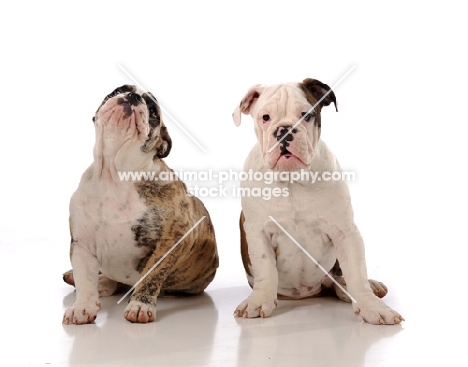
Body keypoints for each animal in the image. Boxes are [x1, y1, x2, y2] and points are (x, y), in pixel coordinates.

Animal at [61, 85, 219, 324]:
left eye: (153, 111)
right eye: (118, 90)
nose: (132, 96)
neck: (114, 175)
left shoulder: (174, 238)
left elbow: (152, 273)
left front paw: (140, 305)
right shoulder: (82, 245)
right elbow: (84, 279)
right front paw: (82, 306)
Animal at [232, 80, 404, 324]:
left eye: (306, 115)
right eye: (265, 117)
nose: (285, 131)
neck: (292, 179)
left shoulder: (345, 231)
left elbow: (356, 272)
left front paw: (372, 306)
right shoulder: (259, 232)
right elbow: (265, 269)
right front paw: (258, 301)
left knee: (341, 277)